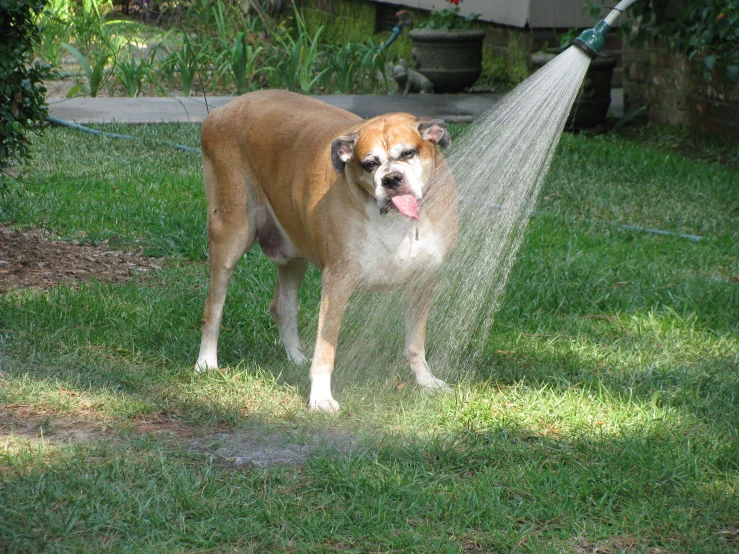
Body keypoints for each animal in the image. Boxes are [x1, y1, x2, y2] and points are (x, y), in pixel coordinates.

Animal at [197, 89, 462, 410]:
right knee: (213, 307)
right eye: (369, 164)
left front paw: (425, 381)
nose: (391, 179)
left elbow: (415, 342)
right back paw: (206, 362)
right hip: (230, 234)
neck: (395, 220)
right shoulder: (338, 283)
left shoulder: (422, 282)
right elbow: (326, 349)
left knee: (283, 307)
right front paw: (321, 397)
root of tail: (220, 112)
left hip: (293, 251)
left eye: (408, 153)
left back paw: (296, 358)